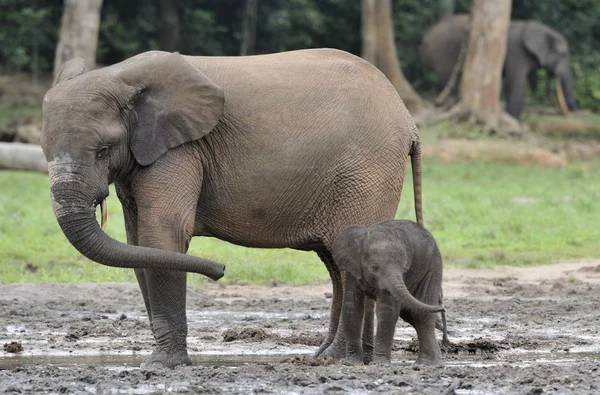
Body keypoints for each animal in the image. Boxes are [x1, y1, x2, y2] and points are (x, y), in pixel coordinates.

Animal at [41, 50, 422, 372]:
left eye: (103, 151)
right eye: (43, 150)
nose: (220, 269)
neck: (119, 75)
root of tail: (409, 121)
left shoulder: (181, 149)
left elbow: (162, 236)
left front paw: (162, 365)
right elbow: (138, 246)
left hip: (366, 170)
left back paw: (341, 360)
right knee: (334, 261)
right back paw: (338, 357)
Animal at [332, 221, 446, 366]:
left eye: (405, 269)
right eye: (374, 267)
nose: (443, 308)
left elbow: (387, 310)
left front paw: (380, 364)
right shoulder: (353, 270)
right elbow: (351, 307)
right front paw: (353, 363)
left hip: (433, 267)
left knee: (420, 313)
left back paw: (427, 363)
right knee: (412, 312)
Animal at [422, 14, 576, 119]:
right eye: (563, 54)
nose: (571, 110)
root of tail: (427, 36)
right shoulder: (516, 51)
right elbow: (516, 84)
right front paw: (514, 120)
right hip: (443, 52)